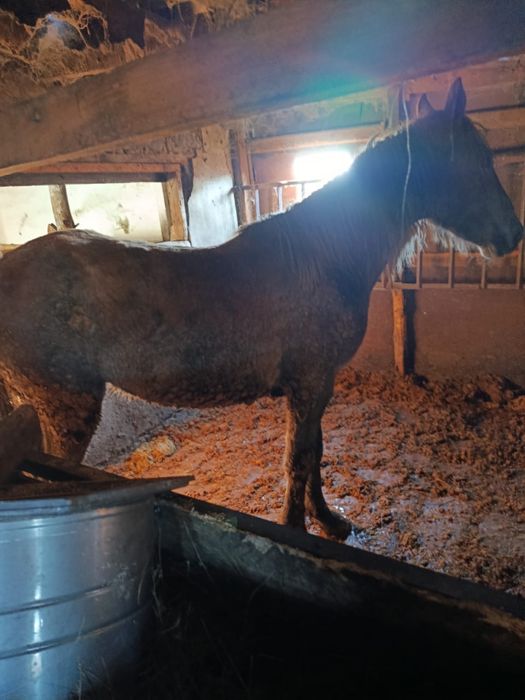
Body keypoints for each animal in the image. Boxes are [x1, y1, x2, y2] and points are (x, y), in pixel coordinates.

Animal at [0, 79, 522, 537]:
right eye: (476, 162)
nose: (513, 235)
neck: (325, 255)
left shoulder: (317, 384)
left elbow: (315, 452)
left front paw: (329, 521)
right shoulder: (309, 383)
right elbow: (298, 458)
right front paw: (297, 528)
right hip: (67, 407)